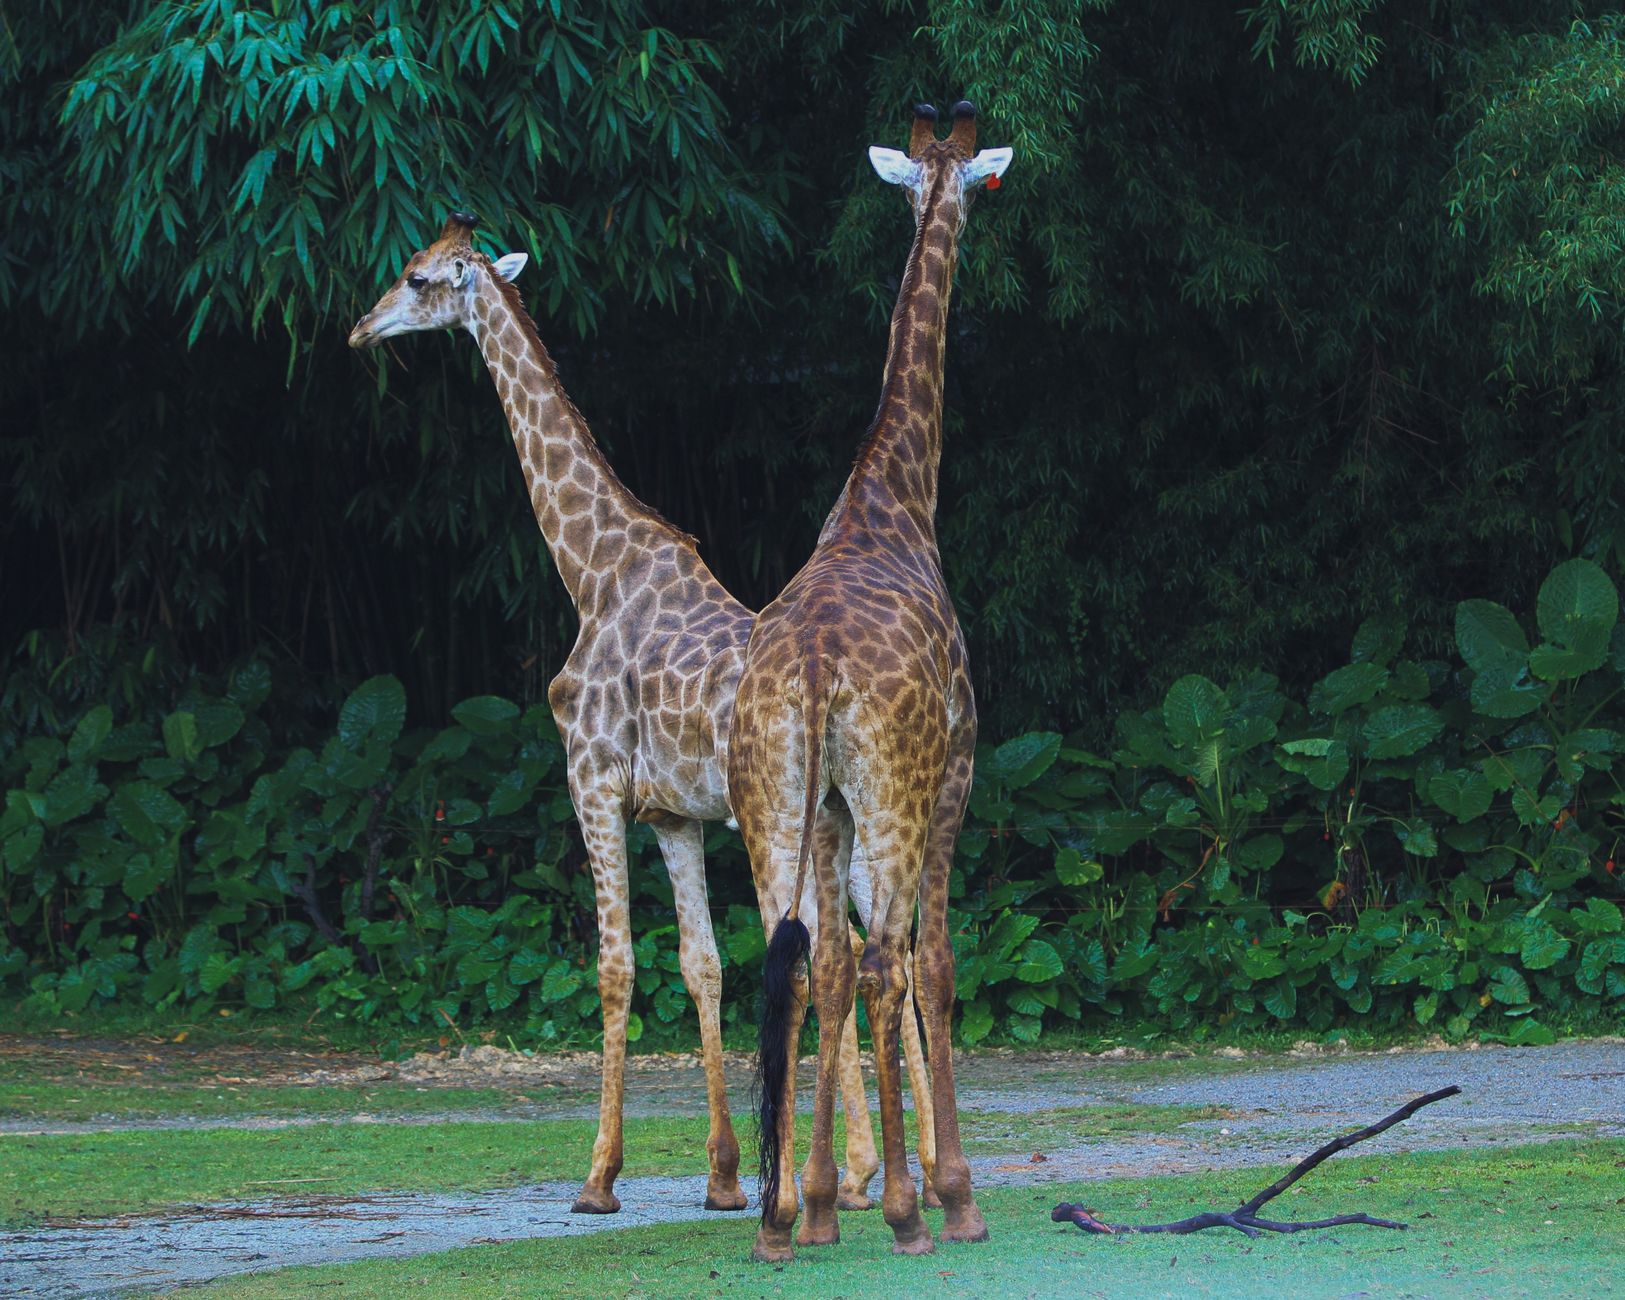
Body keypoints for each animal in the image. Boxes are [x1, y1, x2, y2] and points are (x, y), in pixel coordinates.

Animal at [346, 213, 938, 1216]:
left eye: (417, 277)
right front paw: (724, 1176)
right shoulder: (670, 814)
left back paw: (857, 1175)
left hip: (789, 819)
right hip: (858, 820)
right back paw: (912, 1172)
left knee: (836, 949)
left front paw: (599, 1176)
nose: (359, 328)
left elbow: (617, 965)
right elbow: (701, 966)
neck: (591, 574)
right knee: (880, 945)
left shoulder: (590, 780)